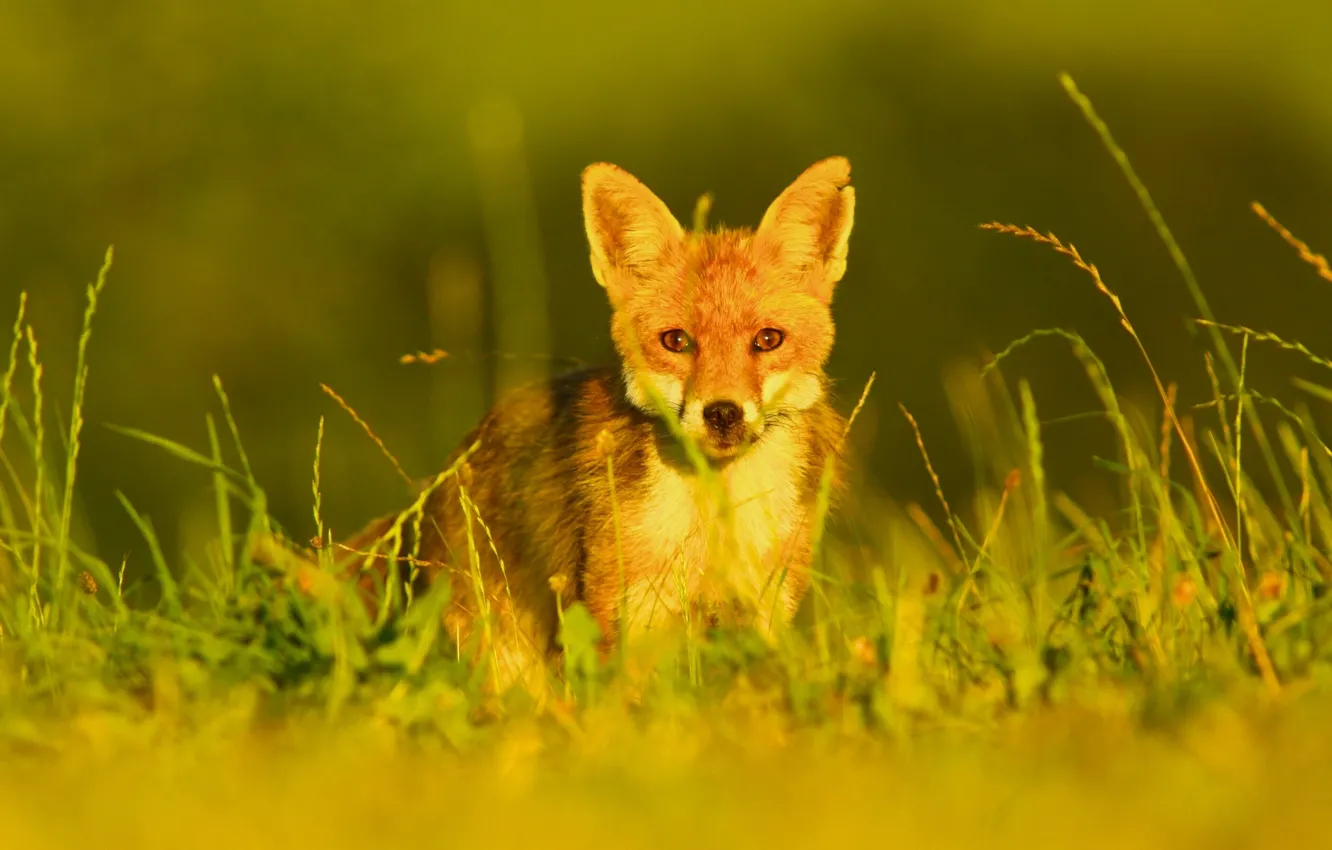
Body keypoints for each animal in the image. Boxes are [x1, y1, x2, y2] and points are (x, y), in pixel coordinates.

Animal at [261, 157, 856, 691]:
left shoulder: (766, 607)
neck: (711, 517)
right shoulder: (622, 611)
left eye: (768, 340)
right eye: (677, 341)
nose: (724, 413)